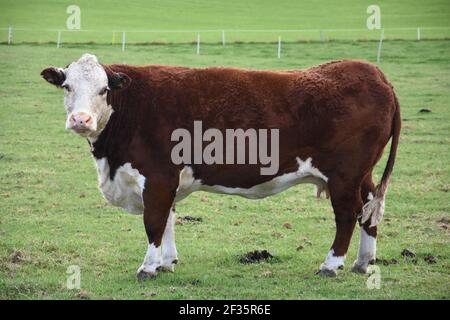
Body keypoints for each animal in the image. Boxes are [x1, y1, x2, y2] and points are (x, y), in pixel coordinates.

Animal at [41, 54, 400, 280]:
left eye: (103, 90)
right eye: (67, 86)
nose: (81, 120)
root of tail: (373, 73)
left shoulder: (157, 176)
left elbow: (154, 221)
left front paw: (148, 267)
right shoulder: (166, 181)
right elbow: (168, 219)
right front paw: (167, 263)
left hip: (344, 175)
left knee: (347, 215)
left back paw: (331, 265)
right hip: (362, 174)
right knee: (370, 208)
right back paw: (363, 263)